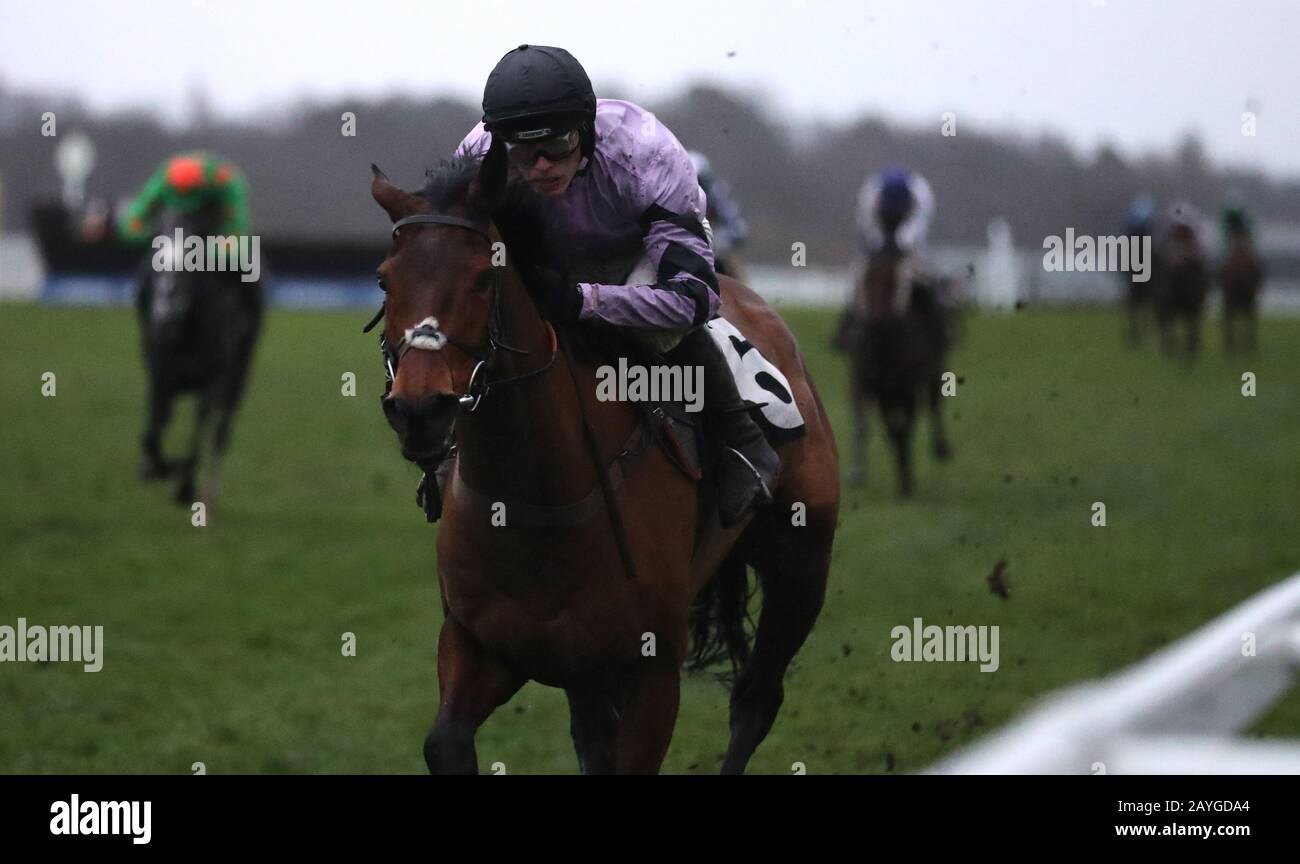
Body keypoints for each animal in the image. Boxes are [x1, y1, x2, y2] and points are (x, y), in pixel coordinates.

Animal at [135, 209, 262, 506]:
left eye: (191, 262)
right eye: (155, 259)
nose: (165, 315)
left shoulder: (213, 379)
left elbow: (199, 428)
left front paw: (184, 485)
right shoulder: (161, 379)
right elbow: (152, 434)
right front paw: (154, 468)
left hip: (238, 377)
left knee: (220, 432)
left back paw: (208, 498)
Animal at [374, 142, 842, 774]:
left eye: (481, 277)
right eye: (384, 280)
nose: (420, 410)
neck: (535, 499)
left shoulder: (653, 672)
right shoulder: (482, 643)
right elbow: (445, 741)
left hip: (801, 567)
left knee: (755, 700)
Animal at [837, 242, 951, 498]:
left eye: (892, 283)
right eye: (865, 282)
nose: (875, 322)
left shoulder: (908, 388)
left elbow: (904, 428)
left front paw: (905, 481)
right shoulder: (868, 384)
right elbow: (877, 427)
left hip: (932, 370)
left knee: (934, 401)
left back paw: (941, 447)